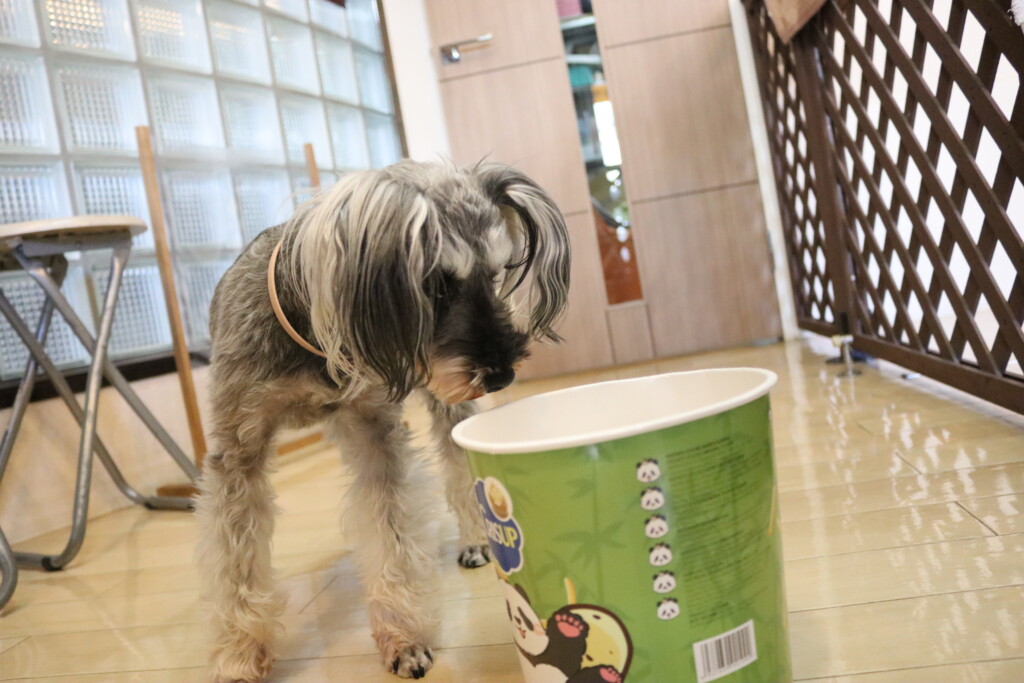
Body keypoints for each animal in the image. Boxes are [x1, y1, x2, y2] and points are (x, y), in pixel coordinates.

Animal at [195, 160, 570, 681]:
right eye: (436, 285)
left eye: (496, 275)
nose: (502, 374)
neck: (313, 335)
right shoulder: (238, 450)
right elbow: (236, 564)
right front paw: (239, 655)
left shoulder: (375, 432)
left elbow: (391, 535)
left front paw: (404, 637)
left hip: (445, 404)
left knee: (458, 467)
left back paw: (477, 540)